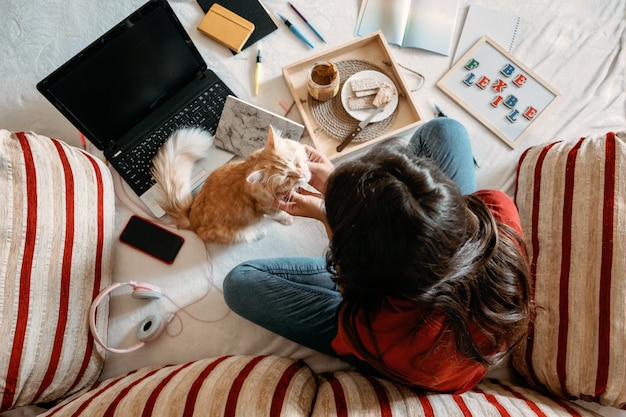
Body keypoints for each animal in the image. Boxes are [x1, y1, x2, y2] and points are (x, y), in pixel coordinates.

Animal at [150, 127, 308, 244]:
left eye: (294, 162)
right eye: (287, 177)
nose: (303, 175)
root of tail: (191, 220)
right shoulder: (268, 207)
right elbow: (280, 214)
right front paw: (288, 218)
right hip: (236, 233)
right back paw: (259, 233)